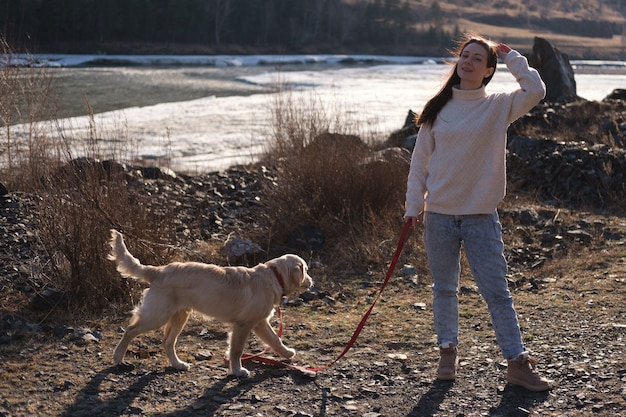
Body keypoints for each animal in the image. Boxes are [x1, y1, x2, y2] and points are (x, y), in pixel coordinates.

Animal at [108, 229, 314, 376]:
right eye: (306, 270)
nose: (311, 281)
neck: (273, 276)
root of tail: (158, 271)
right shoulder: (244, 324)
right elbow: (237, 350)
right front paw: (238, 371)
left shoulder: (259, 323)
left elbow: (275, 339)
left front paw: (287, 353)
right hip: (157, 315)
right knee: (130, 330)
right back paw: (118, 356)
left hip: (180, 315)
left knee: (167, 341)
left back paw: (178, 364)